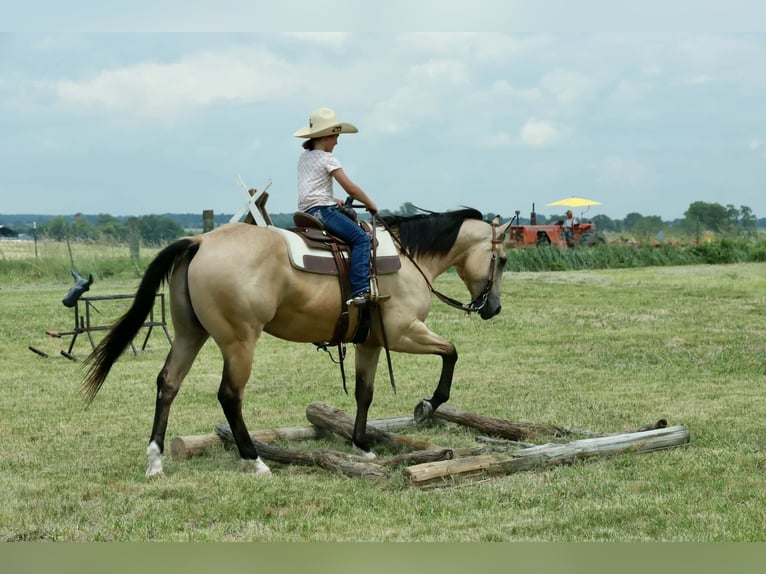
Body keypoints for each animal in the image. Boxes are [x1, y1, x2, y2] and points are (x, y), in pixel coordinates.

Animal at [82, 208, 512, 477]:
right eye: (504, 259)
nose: (493, 308)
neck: (408, 260)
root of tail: (200, 241)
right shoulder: (405, 332)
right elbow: (451, 352)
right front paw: (427, 405)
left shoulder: (370, 344)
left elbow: (364, 393)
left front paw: (361, 445)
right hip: (239, 341)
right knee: (229, 395)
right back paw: (254, 460)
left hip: (191, 334)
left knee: (168, 383)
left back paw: (155, 461)